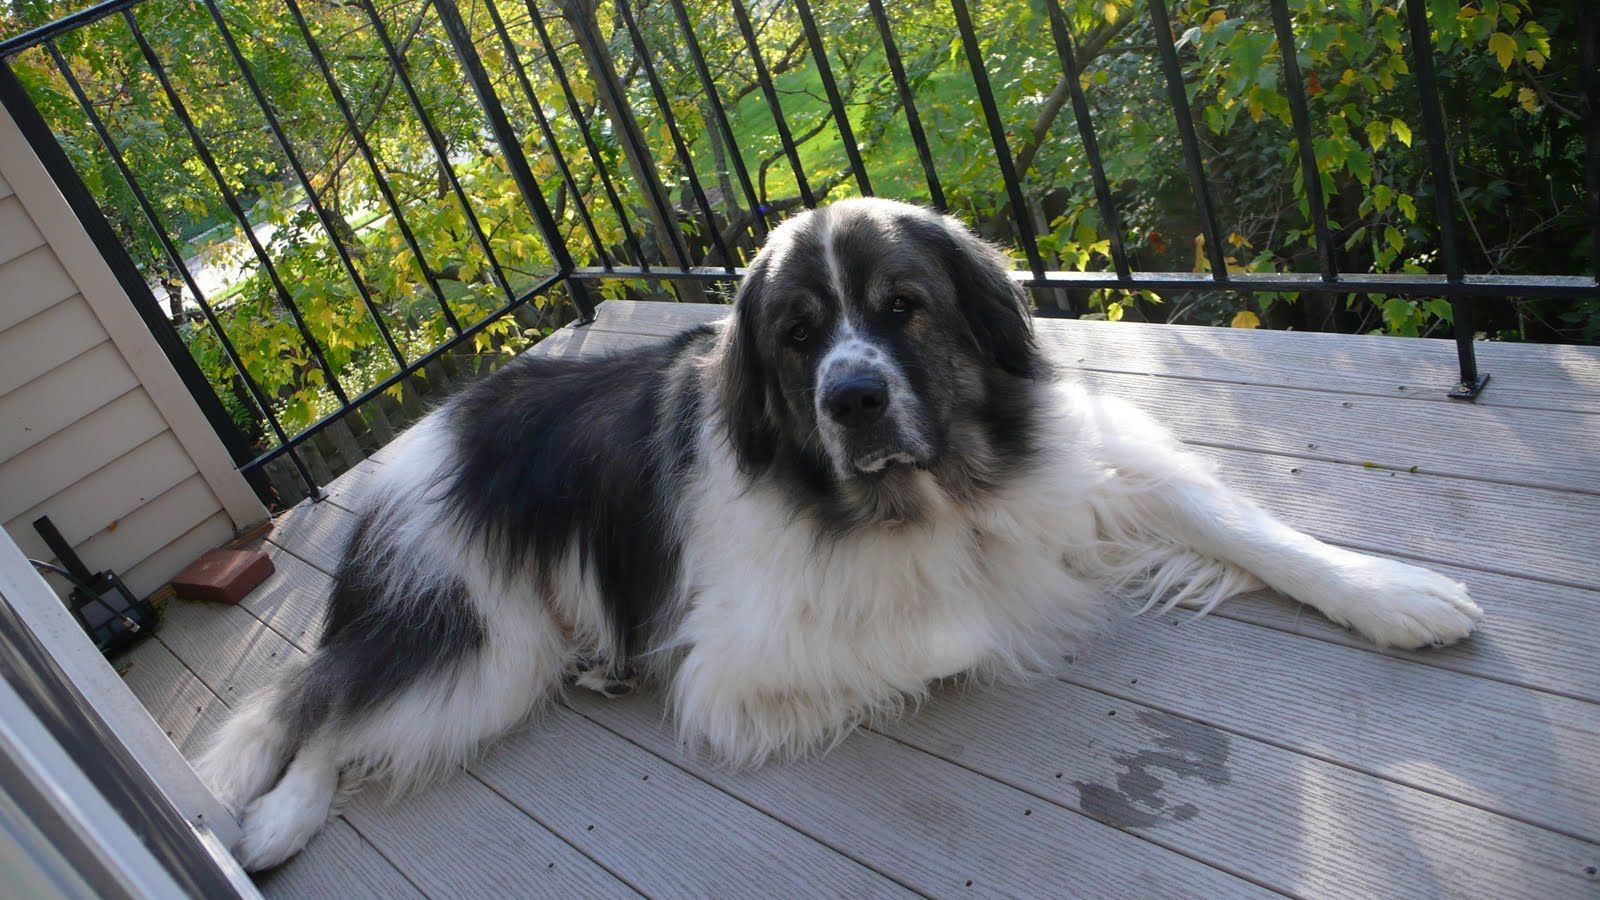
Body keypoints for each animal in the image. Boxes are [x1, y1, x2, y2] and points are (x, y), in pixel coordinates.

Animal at [200, 196, 1484, 864]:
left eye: (902, 309)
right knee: (323, 715)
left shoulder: (1089, 461)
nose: (852, 399)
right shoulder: (734, 655)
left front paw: (1393, 593)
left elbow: (1237, 518)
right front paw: (1013, 603)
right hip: (480, 647)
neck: (936, 489)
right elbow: (957, 621)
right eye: (795, 336)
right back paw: (273, 819)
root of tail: (413, 444)